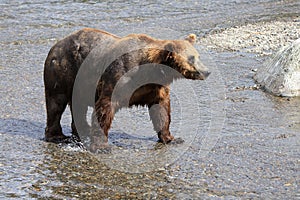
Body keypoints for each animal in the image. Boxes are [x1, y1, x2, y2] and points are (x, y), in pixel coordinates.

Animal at [43, 27, 210, 150]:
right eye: (191, 58)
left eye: (198, 56)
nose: (206, 71)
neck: (150, 70)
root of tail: (56, 45)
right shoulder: (119, 77)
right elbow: (105, 107)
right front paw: (102, 146)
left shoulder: (154, 87)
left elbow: (161, 109)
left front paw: (171, 138)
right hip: (63, 71)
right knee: (56, 102)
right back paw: (57, 136)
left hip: (79, 83)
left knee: (77, 106)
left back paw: (82, 130)